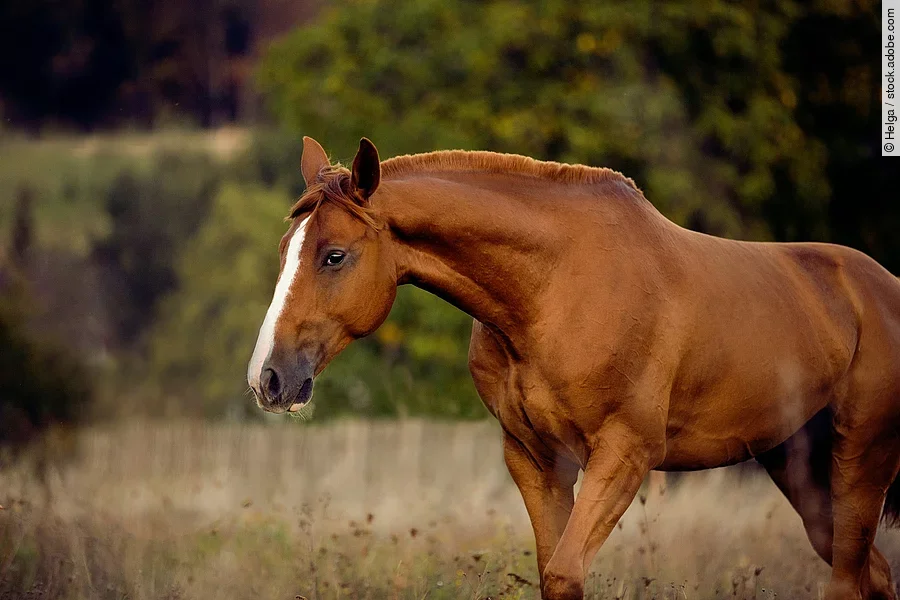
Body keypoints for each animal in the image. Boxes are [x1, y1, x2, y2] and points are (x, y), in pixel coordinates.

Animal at [248, 136, 900, 600]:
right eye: (285, 251)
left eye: (335, 256)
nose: (267, 378)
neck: (554, 289)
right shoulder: (536, 459)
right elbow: (551, 574)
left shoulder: (624, 456)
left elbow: (565, 575)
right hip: (800, 467)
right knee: (872, 574)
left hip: (861, 460)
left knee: (850, 580)